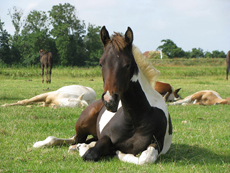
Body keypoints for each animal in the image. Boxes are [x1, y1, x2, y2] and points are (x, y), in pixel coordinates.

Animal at [32, 25, 172, 165]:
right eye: (101, 63)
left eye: (128, 64)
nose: (109, 100)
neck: (135, 120)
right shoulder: (106, 137)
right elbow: (90, 153)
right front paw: (86, 149)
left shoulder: (156, 144)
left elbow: (145, 158)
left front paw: (119, 153)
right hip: (83, 124)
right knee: (73, 139)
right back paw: (41, 144)